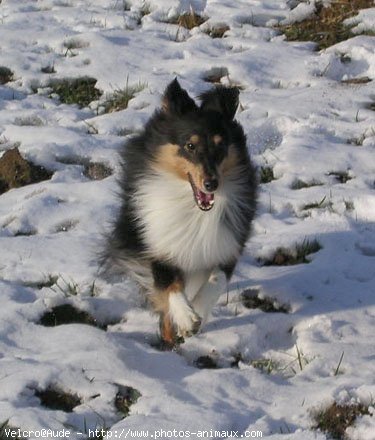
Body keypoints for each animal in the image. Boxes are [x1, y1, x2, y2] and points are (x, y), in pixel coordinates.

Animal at [106, 80, 258, 348]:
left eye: (221, 145)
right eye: (190, 146)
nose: (211, 184)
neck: (192, 206)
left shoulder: (228, 243)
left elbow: (216, 280)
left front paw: (197, 311)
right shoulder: (158, 243)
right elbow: (170, 285)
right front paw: (186, 318)